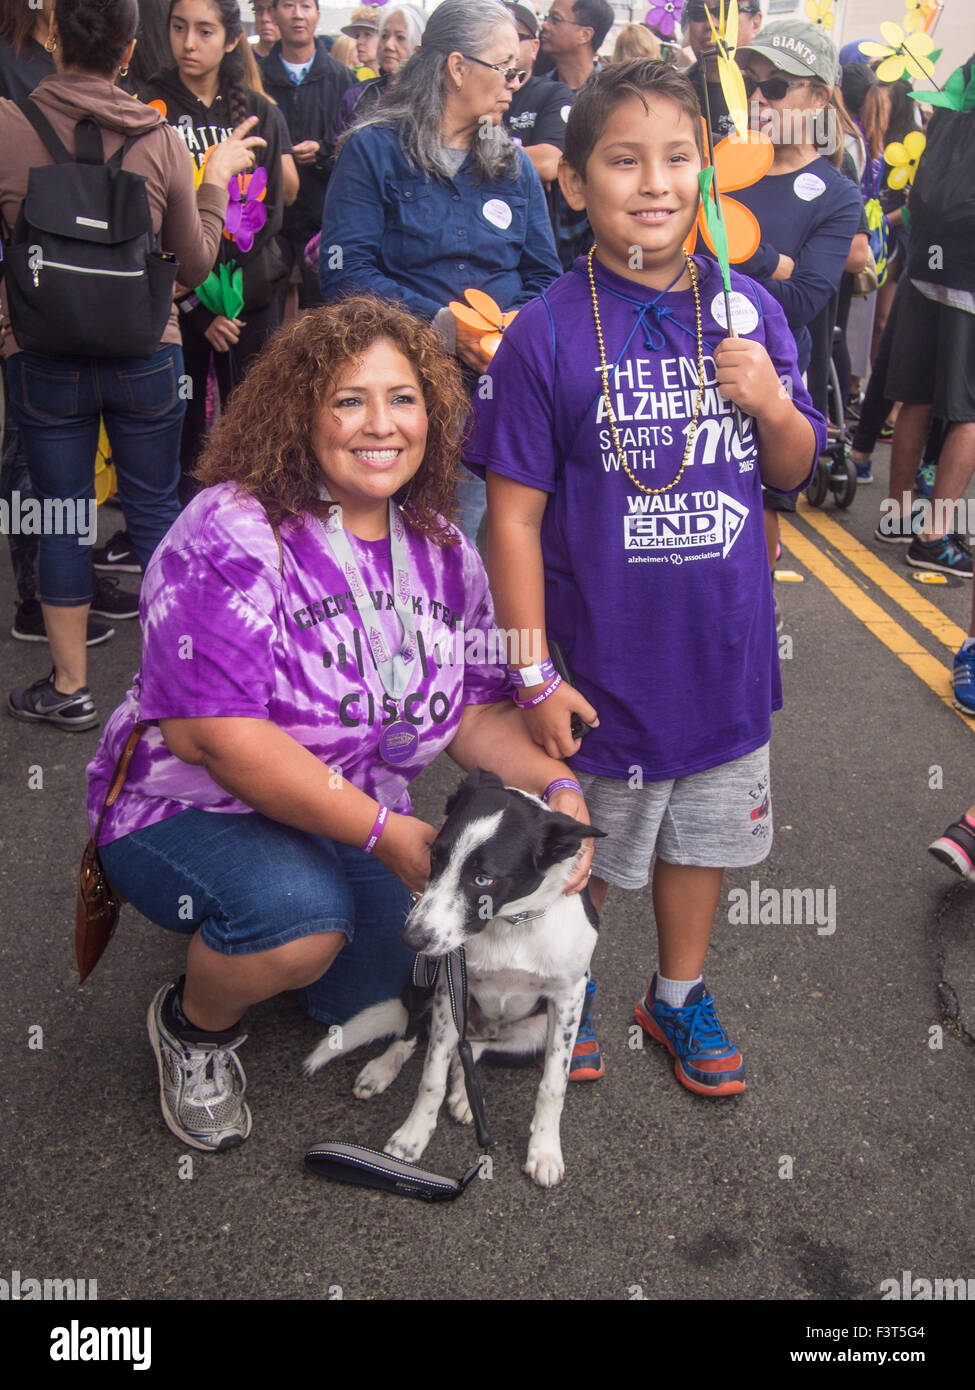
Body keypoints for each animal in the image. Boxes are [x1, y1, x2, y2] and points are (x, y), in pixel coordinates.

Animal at [304, 767, 603, 1189]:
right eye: (434, 855)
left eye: (483, 879)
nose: (411, 938)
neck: (509, 924)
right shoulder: (449, 987)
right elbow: (431, 1075)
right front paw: (412, 1137)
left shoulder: (570, 998)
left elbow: (552, 1086)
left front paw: (545, 1150)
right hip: (422, 982)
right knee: (414, 1031)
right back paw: (385, 1069)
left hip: (533, 1032)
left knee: (477, 1047)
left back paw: (465, 1094)